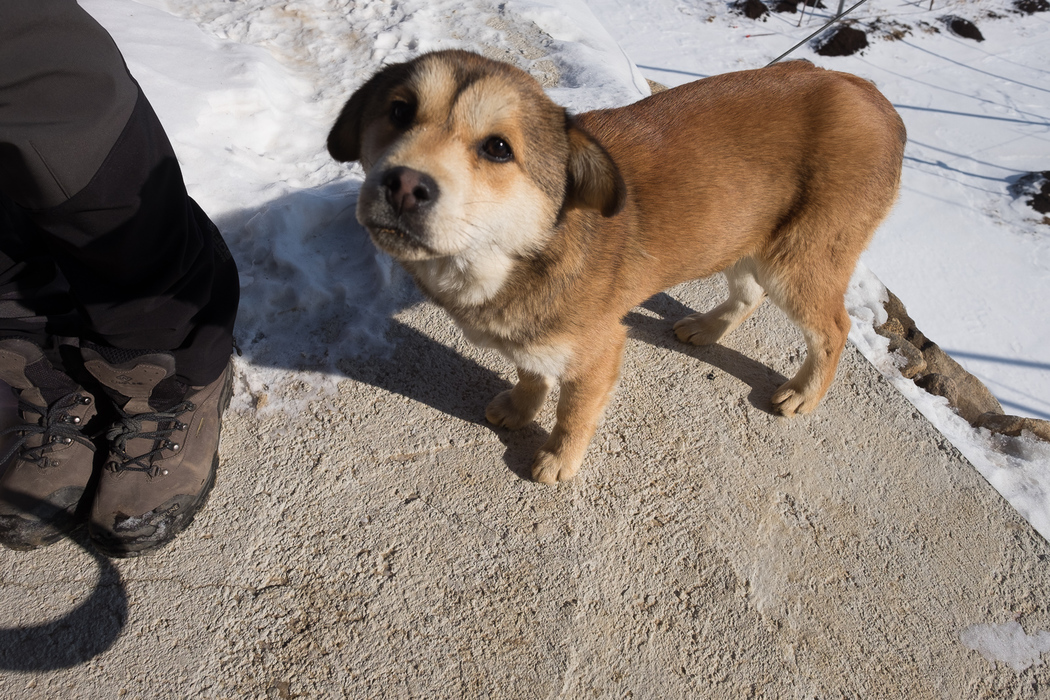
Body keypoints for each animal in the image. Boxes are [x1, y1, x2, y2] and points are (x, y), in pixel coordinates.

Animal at [331, 50, 907, 482]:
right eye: (399, 111)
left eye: (498, 148)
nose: (404, 185)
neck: (519, 252)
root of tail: (871, 93)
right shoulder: (535, 330)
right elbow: (531, 370)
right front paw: (520, 406)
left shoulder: (599, 349)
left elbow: (573, 412)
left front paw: (558, 458)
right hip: (741, 236)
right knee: (748, 293)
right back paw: (707, 327)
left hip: (798, 261)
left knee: (834, 328)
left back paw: (804, 394)